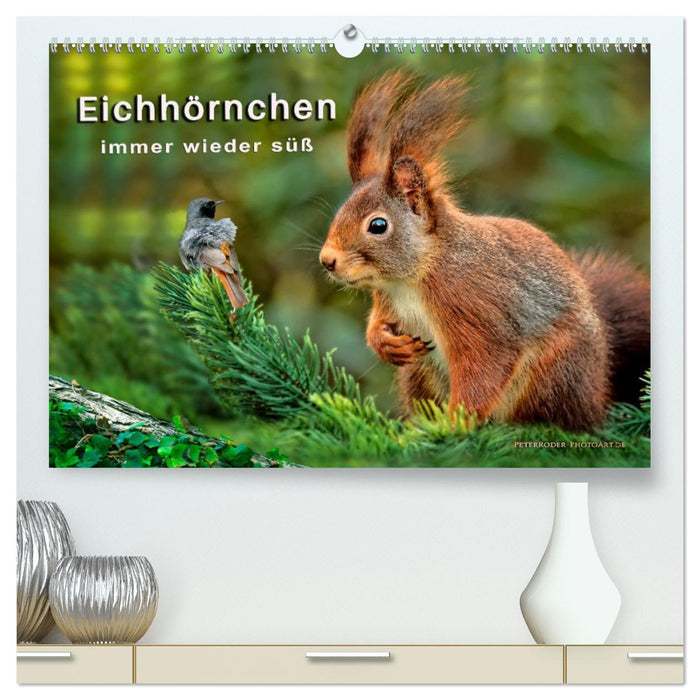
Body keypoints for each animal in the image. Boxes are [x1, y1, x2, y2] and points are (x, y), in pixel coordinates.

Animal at [318, 72, 650, 431]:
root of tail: (596, 397)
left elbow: (484, 367)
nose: (327, 260)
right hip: (419, 374)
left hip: (552, 371)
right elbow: (377, 325)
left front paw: (454, 425)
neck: (413, 278)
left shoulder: (473, 307)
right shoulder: (388, 300)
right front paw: (386, 343)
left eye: (378, 225)